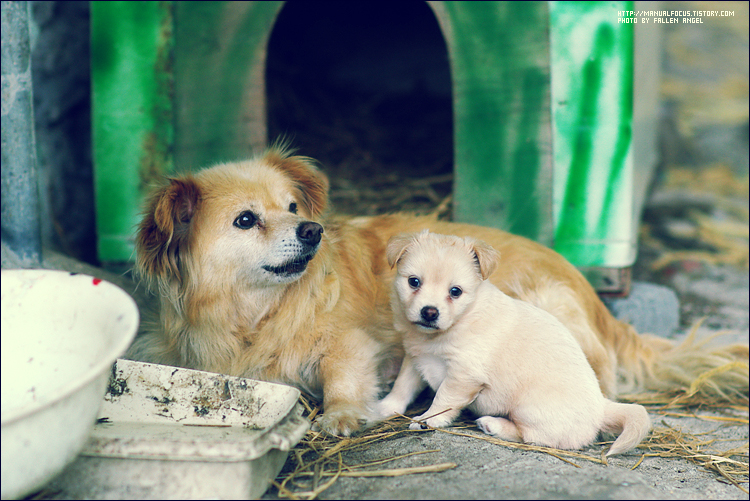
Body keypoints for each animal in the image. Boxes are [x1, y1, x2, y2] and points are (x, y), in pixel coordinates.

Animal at [378, 229, 656, 456]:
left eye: (455, 292)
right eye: (413, 282)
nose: (429, 312)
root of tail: (601, 407)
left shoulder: (463, 376)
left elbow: (442, 401)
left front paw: (427, 420)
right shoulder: (414, 359)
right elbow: (401, 388)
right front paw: (382, 408)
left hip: (527, 409)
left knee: (531, 436)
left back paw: (492, 424)